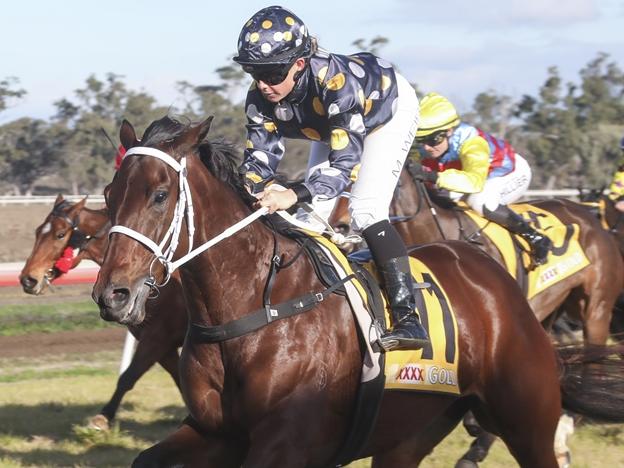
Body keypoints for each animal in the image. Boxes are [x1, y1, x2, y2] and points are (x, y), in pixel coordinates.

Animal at [19, 195, 188, 432]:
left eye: (60, 234)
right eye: (37, 232)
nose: (28, 279)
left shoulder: (158, 338)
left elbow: (128, 376)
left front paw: (102, 418)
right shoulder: (162, 343)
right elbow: (180, 377)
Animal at [88, 114, 624, 468]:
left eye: (160, 196)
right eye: (110, 196)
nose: (113, 295)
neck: (254, 309)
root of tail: (494, 280)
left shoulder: (287, 442)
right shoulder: (214, 431)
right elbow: (146, 458)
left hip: (531, 408)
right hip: (409, 434)